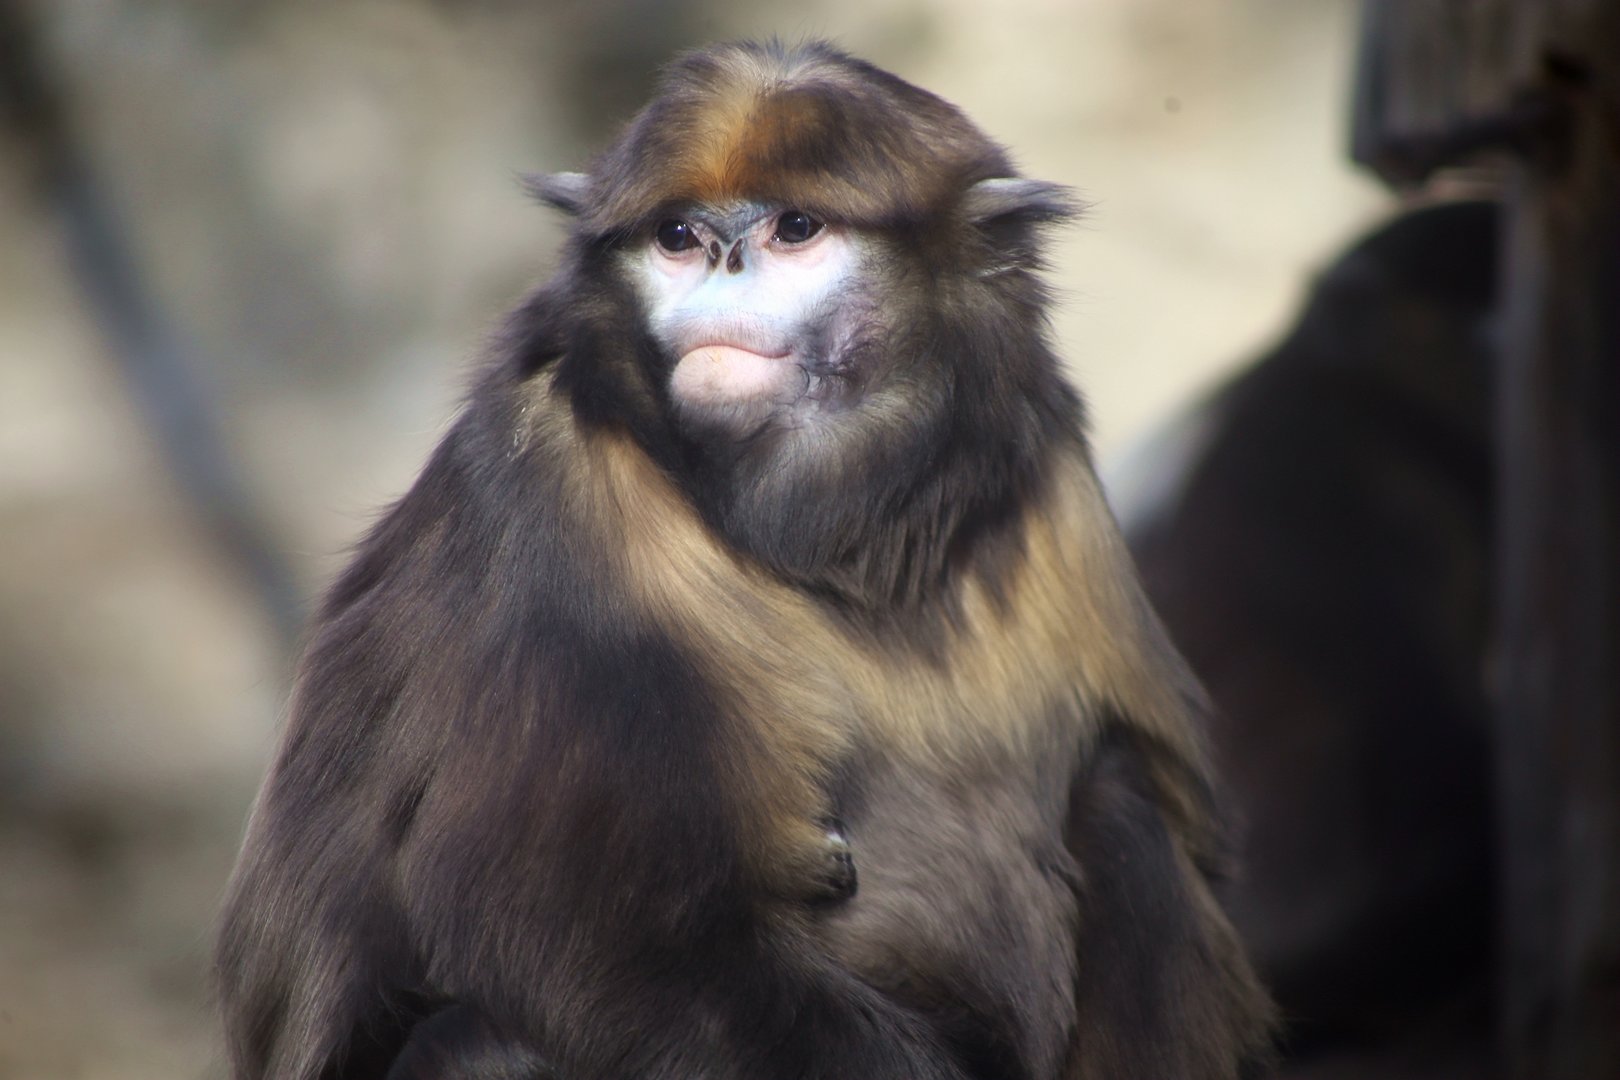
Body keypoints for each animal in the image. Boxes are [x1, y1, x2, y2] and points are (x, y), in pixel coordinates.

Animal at [216, 40, 1273, 1080]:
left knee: (1123, 800)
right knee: (478, 1043)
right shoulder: (542, 488)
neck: (843, 547)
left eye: (794, 229)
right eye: (678, 237)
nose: (722, 259)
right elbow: (583, 941)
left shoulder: (1043, 451)